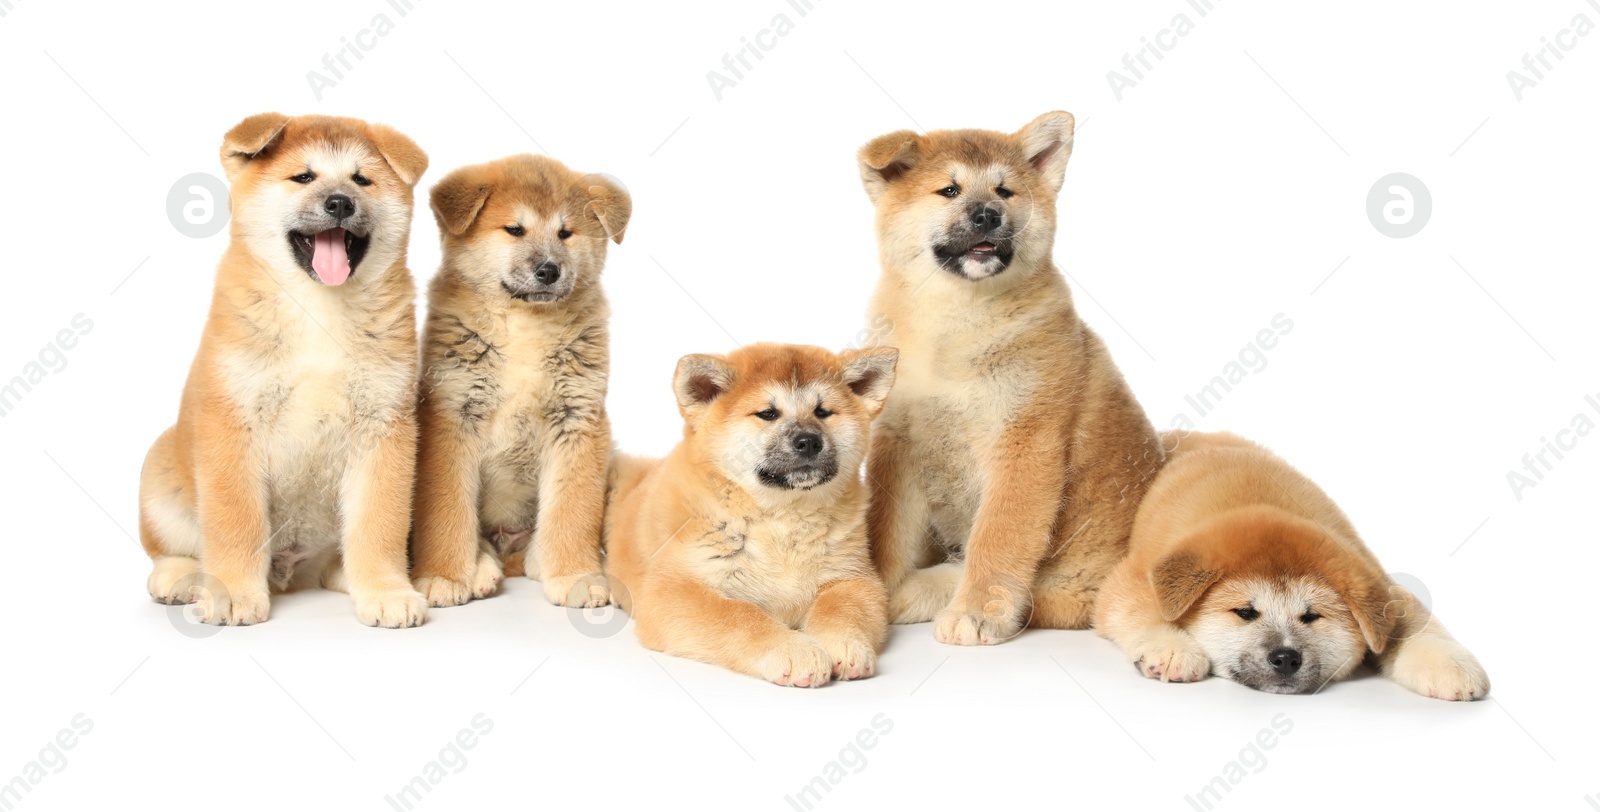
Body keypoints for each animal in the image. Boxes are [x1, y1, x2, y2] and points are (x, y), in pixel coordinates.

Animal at [138, 111, 432, 623]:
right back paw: (180, 578)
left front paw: (385, 590)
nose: (340, 202)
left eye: (361, 180)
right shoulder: (232, 422)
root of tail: (292, 573)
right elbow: (236, 522)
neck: (317, 309)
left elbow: (378, 524)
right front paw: (233, 592)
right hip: (158, 476)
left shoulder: (384, 428)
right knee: (175, 550)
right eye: (303, 177)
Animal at [409, 153, 627, 607]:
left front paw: (576, 575)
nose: (549, 269)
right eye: (514, 229)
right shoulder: (452, 416)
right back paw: (480, 568)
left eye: (565, 233)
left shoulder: (578, 420)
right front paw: (442, 575)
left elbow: (572, 511)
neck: (526, 326)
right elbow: (446, 513)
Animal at [601, 342, 902, 684]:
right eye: (768, 414)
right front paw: (793, 649)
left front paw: (846, 643)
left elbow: (842, 609)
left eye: (823, 412)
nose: (809, 441)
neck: (782, 519)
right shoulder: (673, 591)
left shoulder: (855, 577)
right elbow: (741, 617)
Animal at [851, 111, 1164, 642]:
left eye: (1005, 191)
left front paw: (979, 611)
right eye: (949, 190)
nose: (987, 216)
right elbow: (887, 534)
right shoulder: (899, 441)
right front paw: (877, 593)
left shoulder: (1023, 441)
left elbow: (998, 536)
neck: (954, 323)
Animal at [1094, 428, 1491, 700]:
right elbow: (1139, 607)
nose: (1285, 658)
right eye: (1245, 612)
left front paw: (1449, 663)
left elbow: (1414, 622)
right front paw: (1173, 648)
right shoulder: (1132, 577)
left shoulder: (1382, 584)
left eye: (1311, 616)